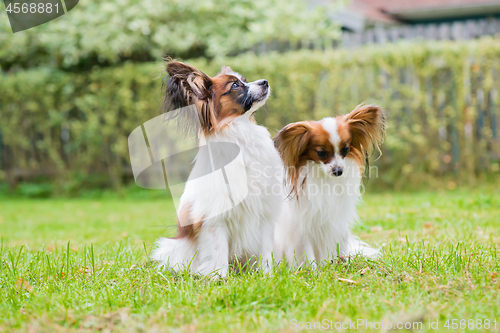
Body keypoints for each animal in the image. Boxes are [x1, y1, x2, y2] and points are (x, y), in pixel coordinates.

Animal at [151, 60, 286, 278]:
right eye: (235, 85)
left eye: (245, 79)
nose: (265, 81)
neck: (240, 133)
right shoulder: (215, 217)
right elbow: (218, 249)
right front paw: (220, 278)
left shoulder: (264, 213)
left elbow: (266, 251)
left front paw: (267, 276)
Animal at [274, 104, 386, 268]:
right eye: (321, 153)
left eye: (345, 149)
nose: (338, 171)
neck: (325, 179)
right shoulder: (302, 229)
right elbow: (306, 253)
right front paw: (311, 270)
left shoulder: (334, 224)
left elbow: (334, 247)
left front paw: (334, 264)